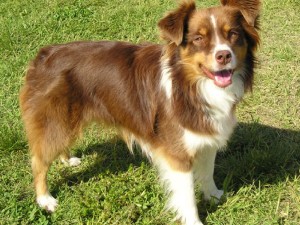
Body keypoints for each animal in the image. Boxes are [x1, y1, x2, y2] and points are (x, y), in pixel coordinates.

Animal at [20, 0, 260, 224]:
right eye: (198, 39)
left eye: (233, 34)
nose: (224, 56)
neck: (190, 85)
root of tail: (43, 55)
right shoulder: (177, 153)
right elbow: (187, 196)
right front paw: (194, 221)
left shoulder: (206, 136)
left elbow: (208, 171)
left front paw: (214, 195)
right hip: (55, 120)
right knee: (38, 161)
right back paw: (45, 199)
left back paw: (67, 160)